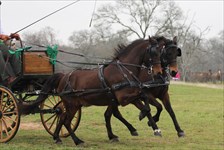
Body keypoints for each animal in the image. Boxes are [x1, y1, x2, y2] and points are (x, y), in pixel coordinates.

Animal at [24, 36, 164, 144]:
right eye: (153, 52)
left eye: (160, 52)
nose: (158, 72)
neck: (123, 70)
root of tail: (64, 76)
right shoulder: (123, 98)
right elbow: (144, 101)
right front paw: (143, 118)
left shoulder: (127, 97)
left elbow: (145, 102)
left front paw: (154, 127)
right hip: (72, 104)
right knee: (67, 121)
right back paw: (77, 141)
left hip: (72, 105)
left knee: (62, 117)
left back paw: (57, 137)